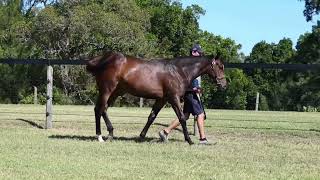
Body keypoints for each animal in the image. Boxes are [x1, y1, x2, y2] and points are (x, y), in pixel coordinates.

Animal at [86, 51, 226, 144]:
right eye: (220, 66)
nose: (224, 84)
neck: (178, 70)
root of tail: (102, 59)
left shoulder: (162, 99)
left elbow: (152, 116)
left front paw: (141, 136)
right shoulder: (173, 98)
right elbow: (181, 118)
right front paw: (189, 140)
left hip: (116, 92)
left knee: (103, 109)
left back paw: (109, 134)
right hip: (106, 90)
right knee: (99, 109)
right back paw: (100, 136)